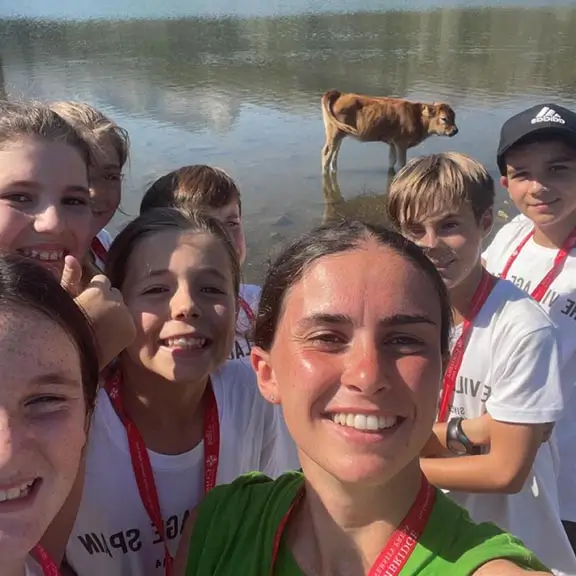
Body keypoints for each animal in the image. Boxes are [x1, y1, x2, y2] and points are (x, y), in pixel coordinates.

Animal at [322, 90, 456, 173]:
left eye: (454, 116)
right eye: (444, 118)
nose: (455, 130)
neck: (417, 117)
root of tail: (340, 94)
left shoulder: (393, 143)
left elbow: (392, 161)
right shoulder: (401, 143)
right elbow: (401, 163)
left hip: (340, 134)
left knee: (335, 151)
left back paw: (334, 169)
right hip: (334, 133)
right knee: (326, 153)